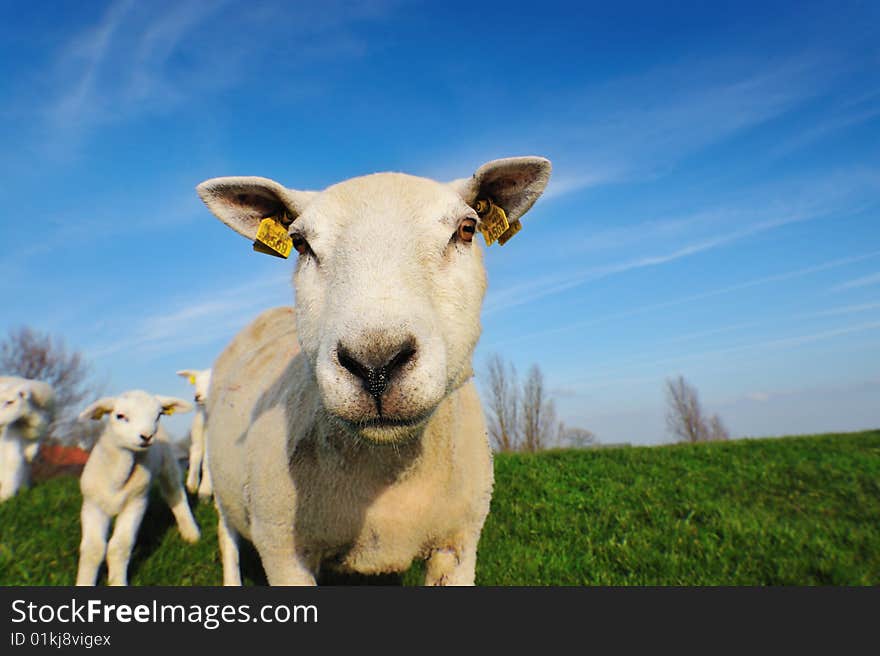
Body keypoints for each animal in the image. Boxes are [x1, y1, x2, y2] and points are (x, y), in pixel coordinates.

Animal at [0, 374, 55, 502]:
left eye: (10, 402)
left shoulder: (40, 431)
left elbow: (31, 452)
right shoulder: (10, 438)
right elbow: (13, 461)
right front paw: (5, 495)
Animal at [76, 390, 201, 584]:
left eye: (158, 415)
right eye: (120, 416)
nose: (147, 436)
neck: (116, 480)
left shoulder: (135, 503)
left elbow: (119, 547)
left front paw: (117, 581)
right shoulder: (92, 505)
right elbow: (92, 550)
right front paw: (84, 582)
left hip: (168, 465)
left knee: (175, 494)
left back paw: (191, 533)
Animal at [199, 156, 552, 588]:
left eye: (467, 230)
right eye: (300, 243)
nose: (376, 365)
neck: (389, 472)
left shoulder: (458, 543)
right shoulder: (282, 550)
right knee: (227, 536)